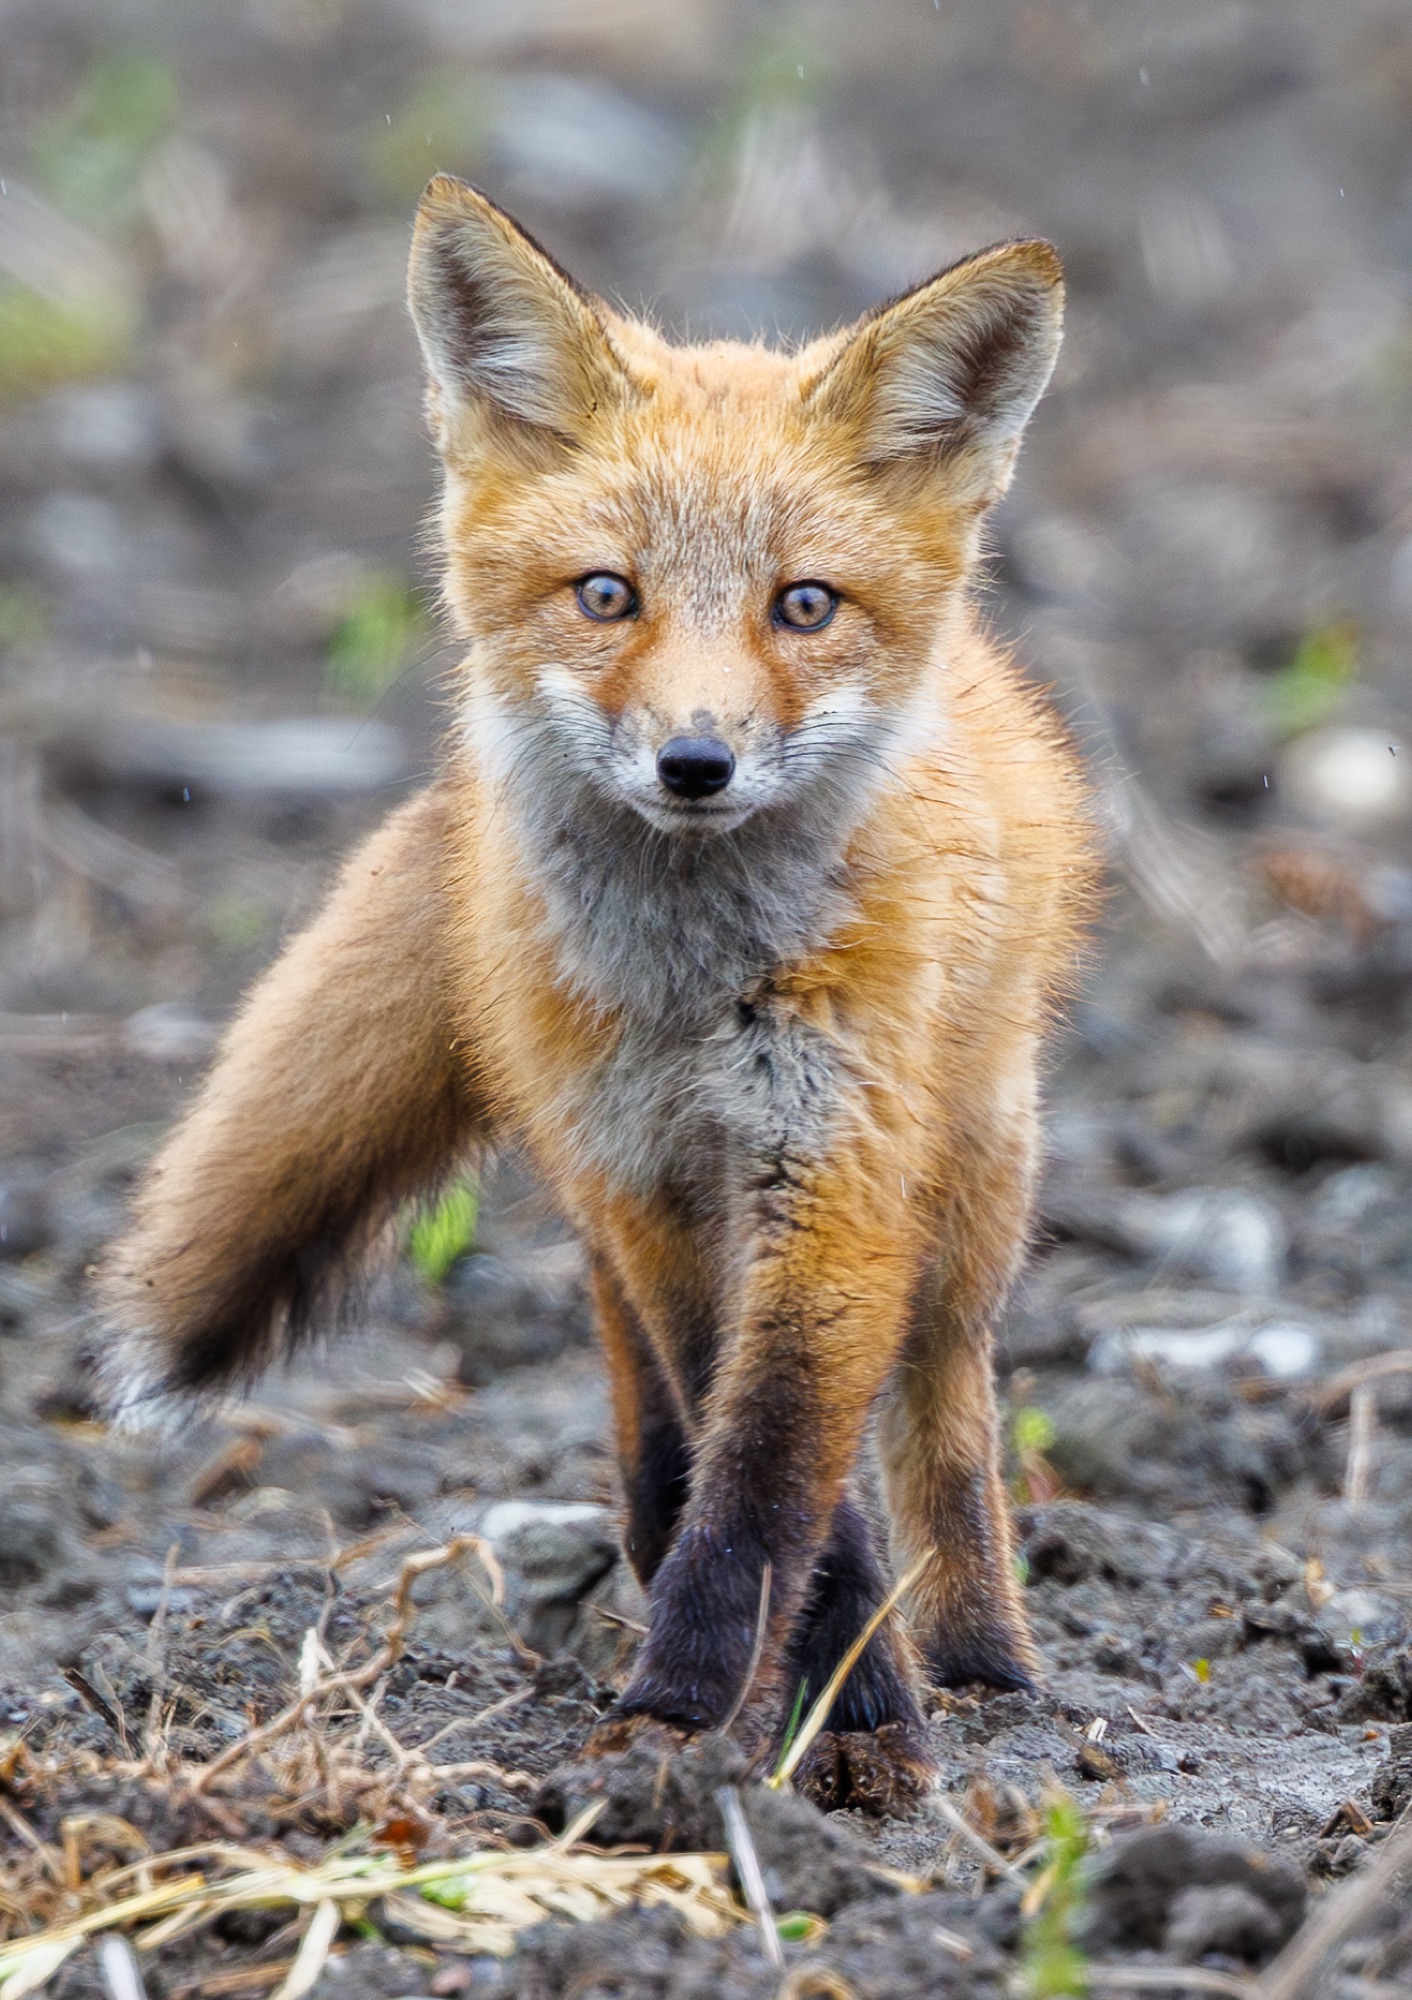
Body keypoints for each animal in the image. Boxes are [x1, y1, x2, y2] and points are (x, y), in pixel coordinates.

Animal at [98, 176, 1096, 1812]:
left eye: (802, 605)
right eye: (607, 596)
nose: (696, 762)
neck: (694, 989)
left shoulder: (838, 1181)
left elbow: (775, 1469)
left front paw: (787, 1717)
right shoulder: (651, 1186)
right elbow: (765, 1470)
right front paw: (755, 1709)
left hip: (973, 1181)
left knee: (944, 1414)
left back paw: (981, 1659)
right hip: (602, 1174)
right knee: (637, 1368)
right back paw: (661, 1531)